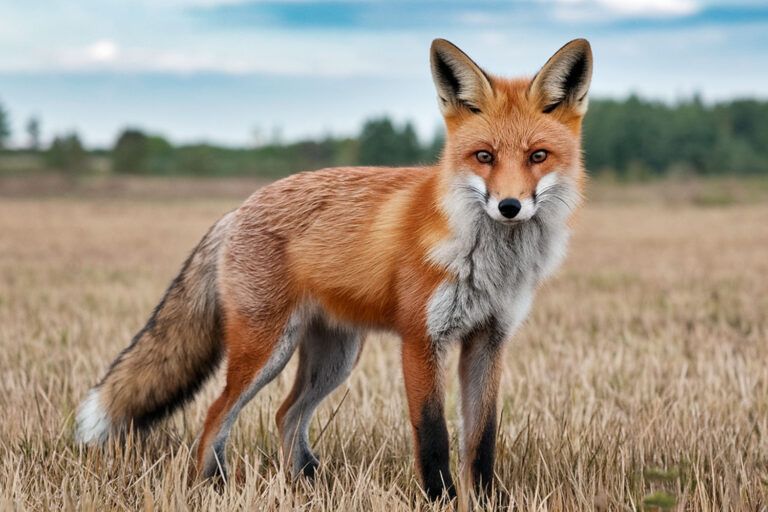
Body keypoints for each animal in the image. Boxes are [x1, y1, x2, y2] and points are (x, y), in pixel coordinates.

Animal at [75, 38, 593, 500]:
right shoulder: (420, 339)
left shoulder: (489, 340)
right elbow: (433, 436)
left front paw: (486, 499)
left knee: (285, 415)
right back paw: (212, 486)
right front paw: (441, 499)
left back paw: (303, 483)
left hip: (334, 359)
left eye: (537, 156)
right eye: (484, 156)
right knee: (215, 415)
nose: (509, 206)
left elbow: (481, 440)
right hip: (266, 351)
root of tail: (237, 209)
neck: (488, 261)